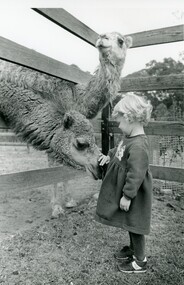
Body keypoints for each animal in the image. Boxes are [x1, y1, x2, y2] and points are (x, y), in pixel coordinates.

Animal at [0, 32, 132, 216]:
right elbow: (55, 164)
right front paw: (57, 206)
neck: (77, 95)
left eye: (120, 41)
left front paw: (69, 200)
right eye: (105, 36)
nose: (102, 37)